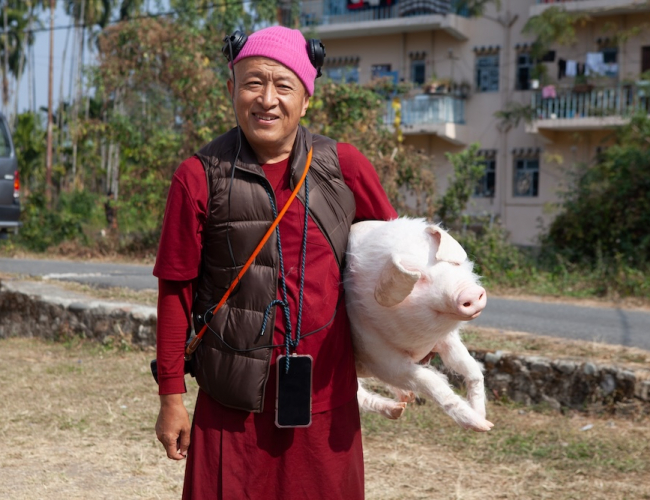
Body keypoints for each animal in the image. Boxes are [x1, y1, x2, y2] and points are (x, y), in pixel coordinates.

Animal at [344, 217, 493, 432]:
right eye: (420, 278)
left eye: (450, 262)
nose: (471, 294)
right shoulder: (379, 357)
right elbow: (430, 380)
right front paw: (482, 425)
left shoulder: (445, 339)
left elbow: (469, 365)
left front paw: (484, 418)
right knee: (358, 395)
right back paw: (398, 409)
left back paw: (405, 401)